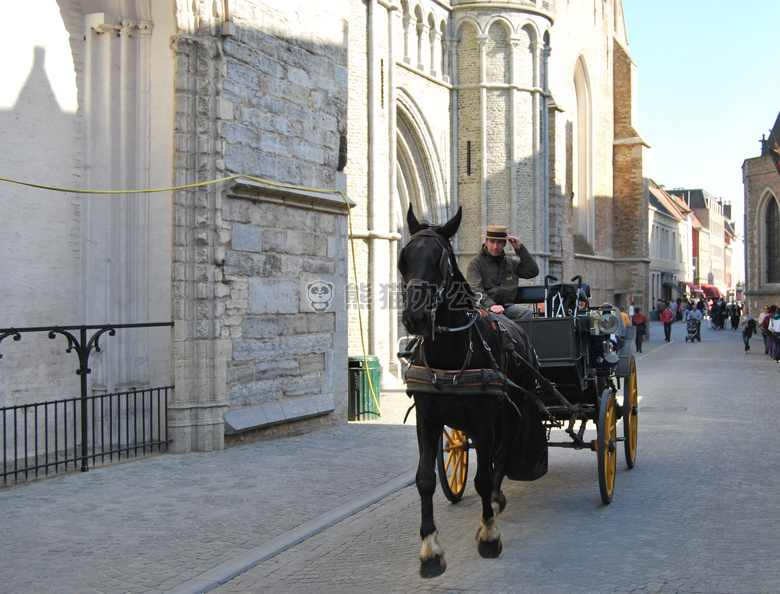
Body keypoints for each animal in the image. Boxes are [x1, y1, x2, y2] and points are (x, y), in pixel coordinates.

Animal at [400, 206, 544, 576]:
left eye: (441, 261)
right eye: (404, 258)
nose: (414, 317)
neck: (450, 353)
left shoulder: (483, 420)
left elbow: (483, 477)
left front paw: (489, 536)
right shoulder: (427, 418)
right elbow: (425, 479)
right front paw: (430, 551)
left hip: (511, 409)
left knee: (502, 454)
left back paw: (494, 502)